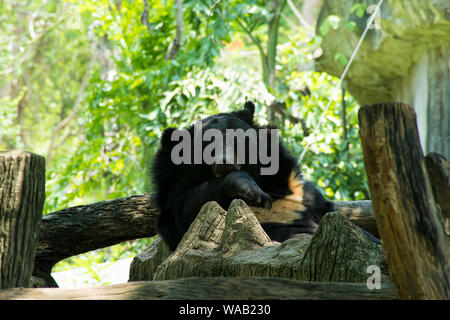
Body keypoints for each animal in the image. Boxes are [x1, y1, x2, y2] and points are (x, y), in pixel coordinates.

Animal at [153, 101, 336, 251]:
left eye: (236, 140)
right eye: (206, 145)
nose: (225, 162)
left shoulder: (299, 191)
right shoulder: (172, 184)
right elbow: (181, 212)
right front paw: (250, 189)